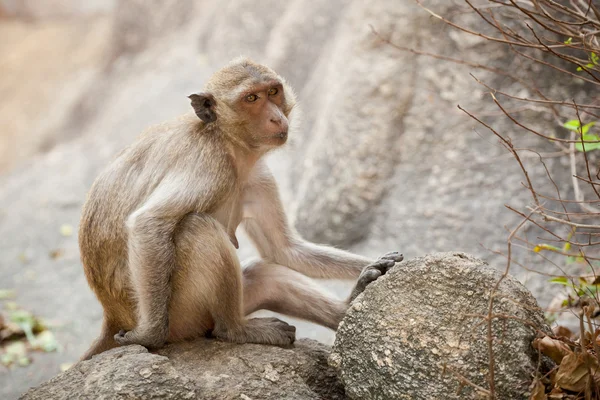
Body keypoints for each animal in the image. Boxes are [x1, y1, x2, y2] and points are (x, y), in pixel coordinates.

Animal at [77, 57, 400, 360]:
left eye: (273, 92)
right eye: (251, 99)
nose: (276, 118)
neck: (227, 142)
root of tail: (113, 316)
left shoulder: (259, 179)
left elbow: (282, 250)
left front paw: (383, 264)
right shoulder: (209, 164)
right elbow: (149, 222)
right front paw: (148, 336)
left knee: (262, 274)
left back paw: (347, 306)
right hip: (182, 316)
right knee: (198, 229)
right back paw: (234, 330)